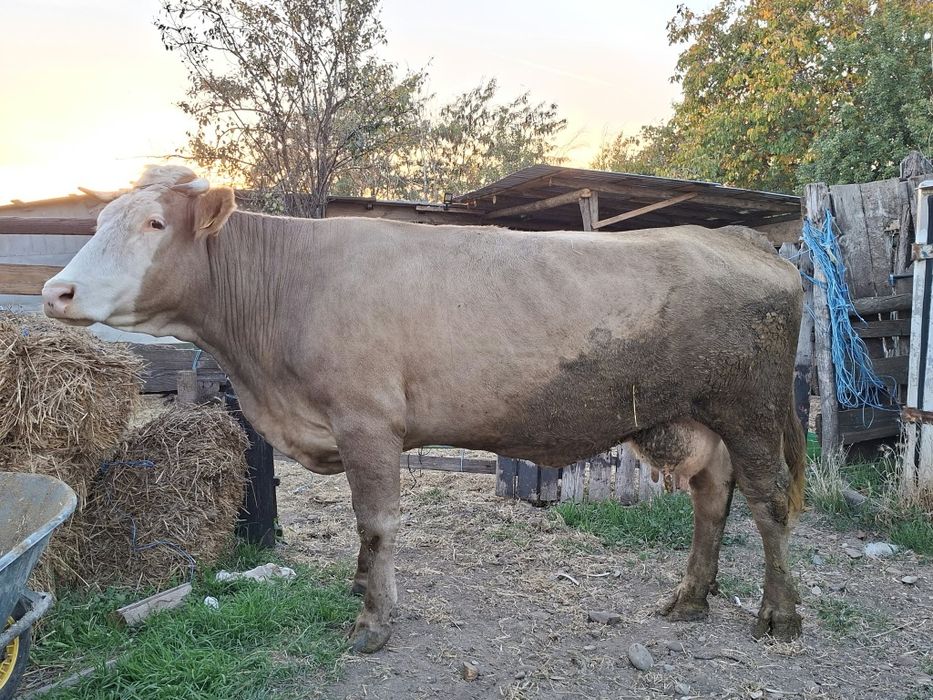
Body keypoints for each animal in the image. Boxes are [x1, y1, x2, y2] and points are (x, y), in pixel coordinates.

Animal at [43, 165, 805, 652]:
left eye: (153, 222)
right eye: (99, 220)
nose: (56, 291)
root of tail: (733, 235)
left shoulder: (366, 422)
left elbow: (375, 521)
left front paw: (373, 621)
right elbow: (365, 530)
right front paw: (360, 588)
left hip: (752, 407)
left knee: (767, 502)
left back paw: (778, 616)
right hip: (697, 417)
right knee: (712, 496)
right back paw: (690, 599)